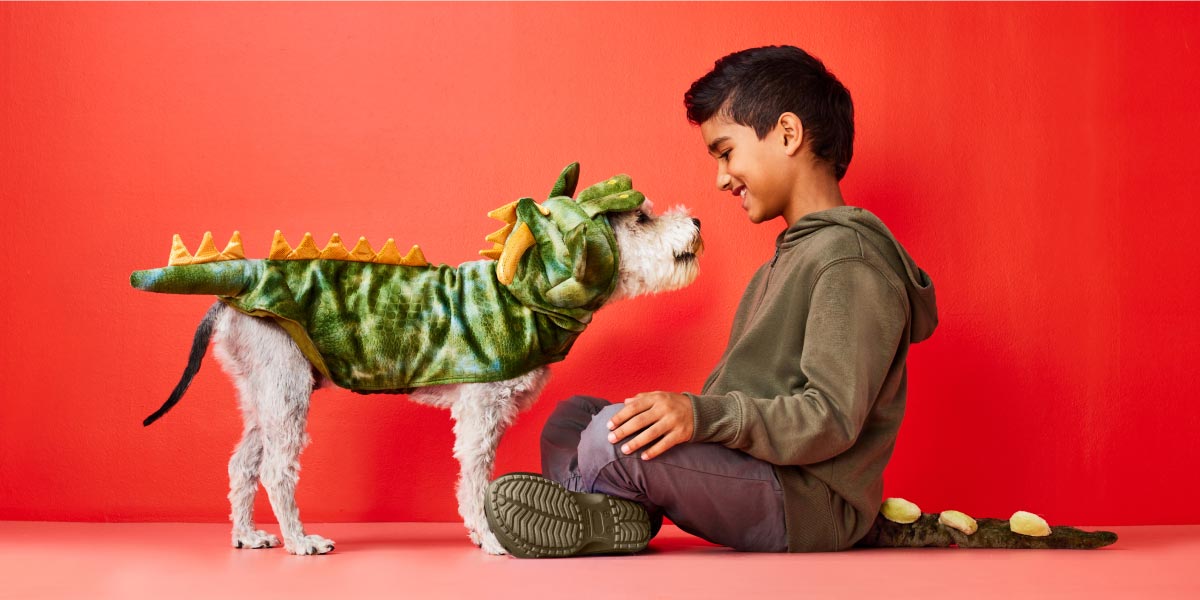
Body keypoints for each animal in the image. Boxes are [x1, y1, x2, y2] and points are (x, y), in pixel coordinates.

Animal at [152, 199, 696, 554]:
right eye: (642, 218)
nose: (695, 219)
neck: (528, 292)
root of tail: (230, 295)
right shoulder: (482, 409)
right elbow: (474, 478)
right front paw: (490, 537)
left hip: (261, 389)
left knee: (242, 463)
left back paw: (246, 535)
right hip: (286, 387)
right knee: (275, 469)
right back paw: (299, 540)